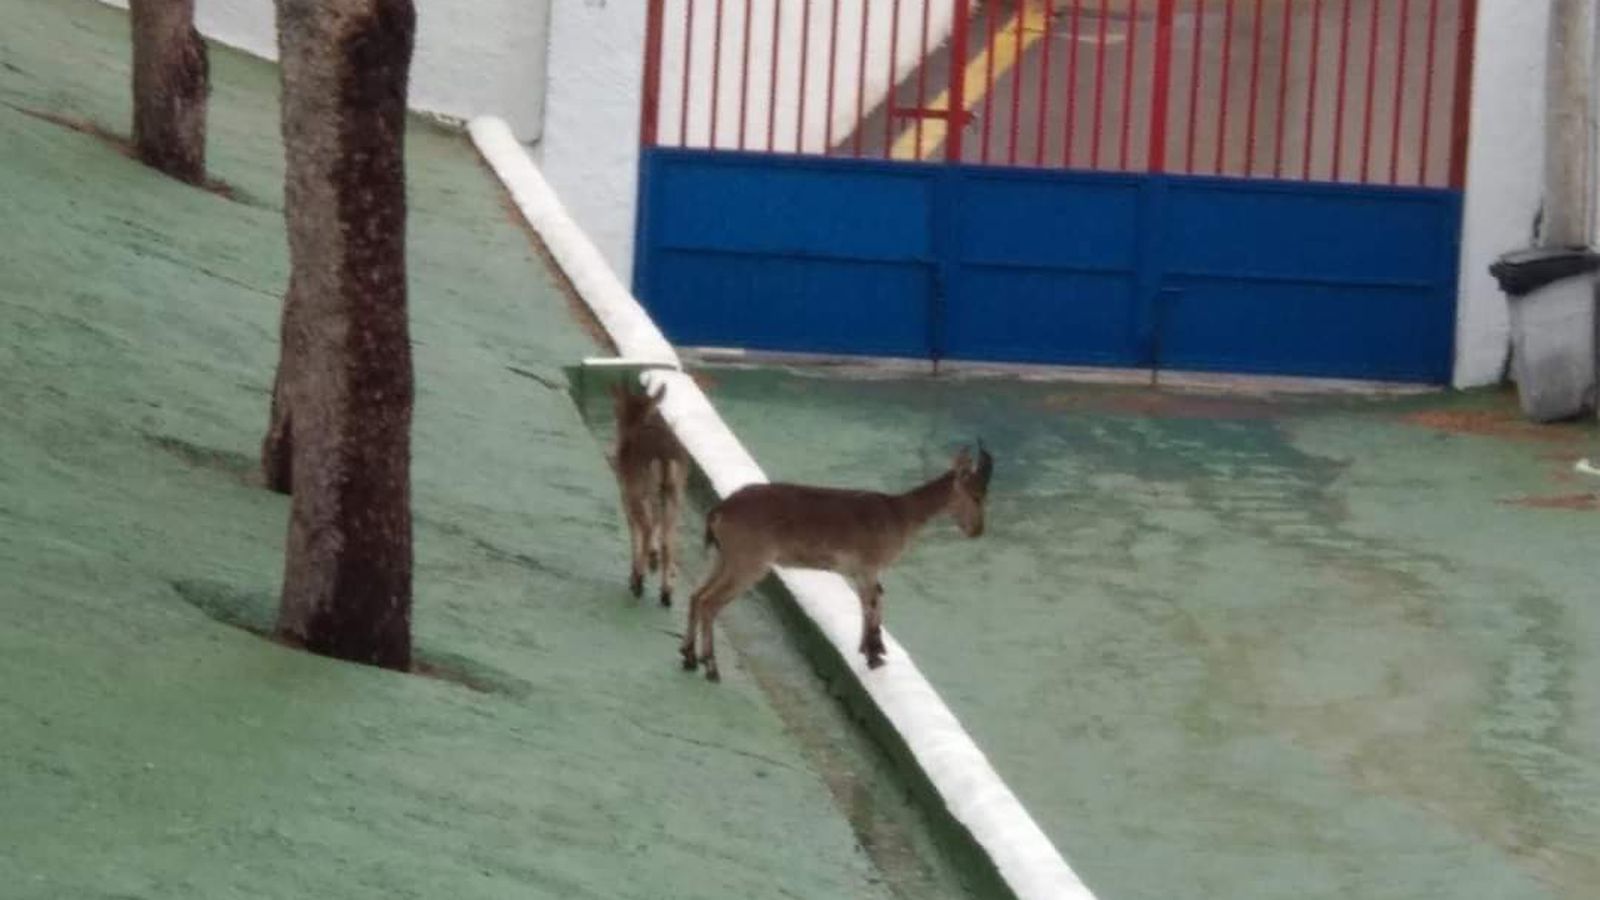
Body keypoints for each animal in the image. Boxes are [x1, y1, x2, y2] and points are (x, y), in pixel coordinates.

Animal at [610, 381, 690, 606]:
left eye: (617, 409)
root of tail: (665, 460)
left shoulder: (626, 491)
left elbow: (634, 528)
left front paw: (637, 571)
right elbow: (656, 523)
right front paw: (653, 560)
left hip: (640, 490)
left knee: (644, 527)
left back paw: (638, 580)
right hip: (675, 493)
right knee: (669, 539)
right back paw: (666, 592)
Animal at [681, 443, 994, 682]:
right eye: (976, 495)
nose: (977, 530)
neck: (901, 515)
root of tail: (719, 511)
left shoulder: (861, 572)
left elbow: (871, 601)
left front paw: (871, 650)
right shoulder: (868, 567)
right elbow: (873, 603)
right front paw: (874, 655)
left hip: (722, 557)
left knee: (696, 594)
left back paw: (689, 656)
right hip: (748, 564)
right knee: (709, 602)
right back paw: (711, 667)